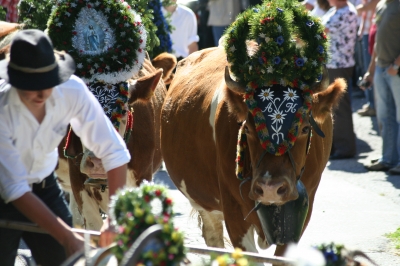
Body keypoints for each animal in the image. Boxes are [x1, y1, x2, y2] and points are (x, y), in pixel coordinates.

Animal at [161, 45, 346, 256]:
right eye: (248, 128)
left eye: (305, 128)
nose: (270, 188)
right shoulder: (232, 210)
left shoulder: (303, 207)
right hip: (204, 202)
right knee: (214, 238)